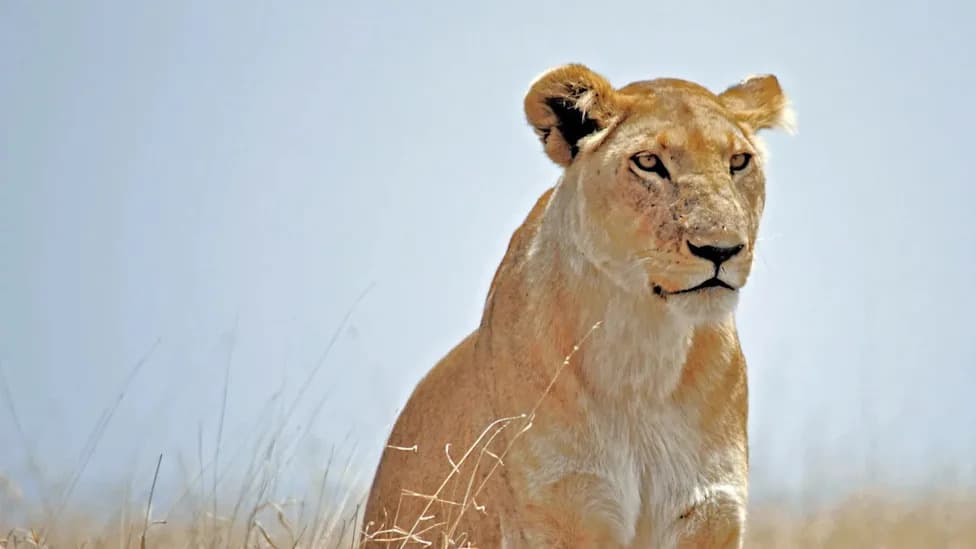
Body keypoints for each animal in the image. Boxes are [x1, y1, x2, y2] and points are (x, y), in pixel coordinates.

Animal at [361, 64, 793, 548]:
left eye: (738, 162)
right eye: (648, 162)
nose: (721, 250)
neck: (644, 347)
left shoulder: (708, 511)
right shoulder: (560, 506)